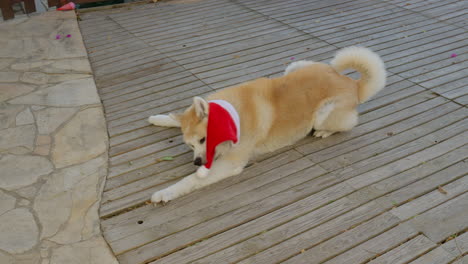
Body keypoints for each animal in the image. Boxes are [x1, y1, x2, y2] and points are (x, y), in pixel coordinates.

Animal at [148, 46, 386, 203]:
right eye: (190, 145)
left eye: (203, 139)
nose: (197, 162)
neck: (233, 115)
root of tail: (352, 84)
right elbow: (174, 117)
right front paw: (159, 117)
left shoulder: (229, 163)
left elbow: (190, 180)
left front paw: (164, 193)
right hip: (295, 66)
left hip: (323, 113)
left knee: (344, 125)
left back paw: (324, 132)